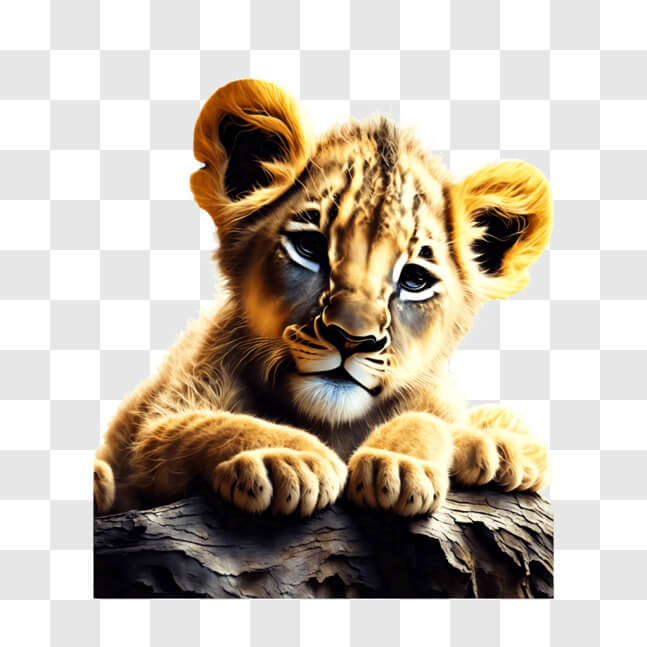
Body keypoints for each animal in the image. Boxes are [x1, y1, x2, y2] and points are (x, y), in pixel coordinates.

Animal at [94, 79, 552, 518]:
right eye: (310, 248)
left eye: (415, 279)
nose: (351, 339)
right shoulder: (163, 423)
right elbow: (206, 426)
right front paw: (291, 460)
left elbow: (427, 419)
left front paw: (399, 465)